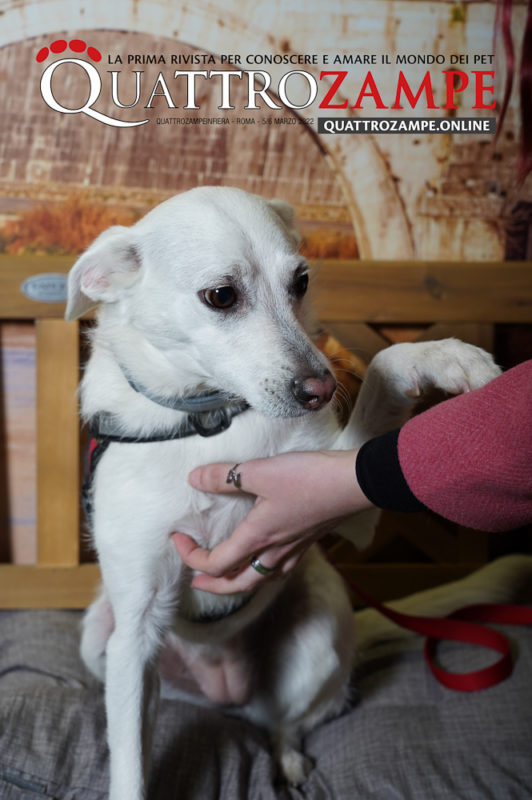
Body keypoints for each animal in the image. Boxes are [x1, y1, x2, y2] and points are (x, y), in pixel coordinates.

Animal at [64, 189, 500, 800]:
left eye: (302, 281)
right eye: (221, 296)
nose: (321, 389)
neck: (211, 423)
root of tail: (226, 692)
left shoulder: (350, 503)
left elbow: (384, 365)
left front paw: (442, 355)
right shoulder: (136, 630)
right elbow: (131, 764)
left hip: (320, 631)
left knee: (284, 723)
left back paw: (288, 760)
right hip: (98, 635)